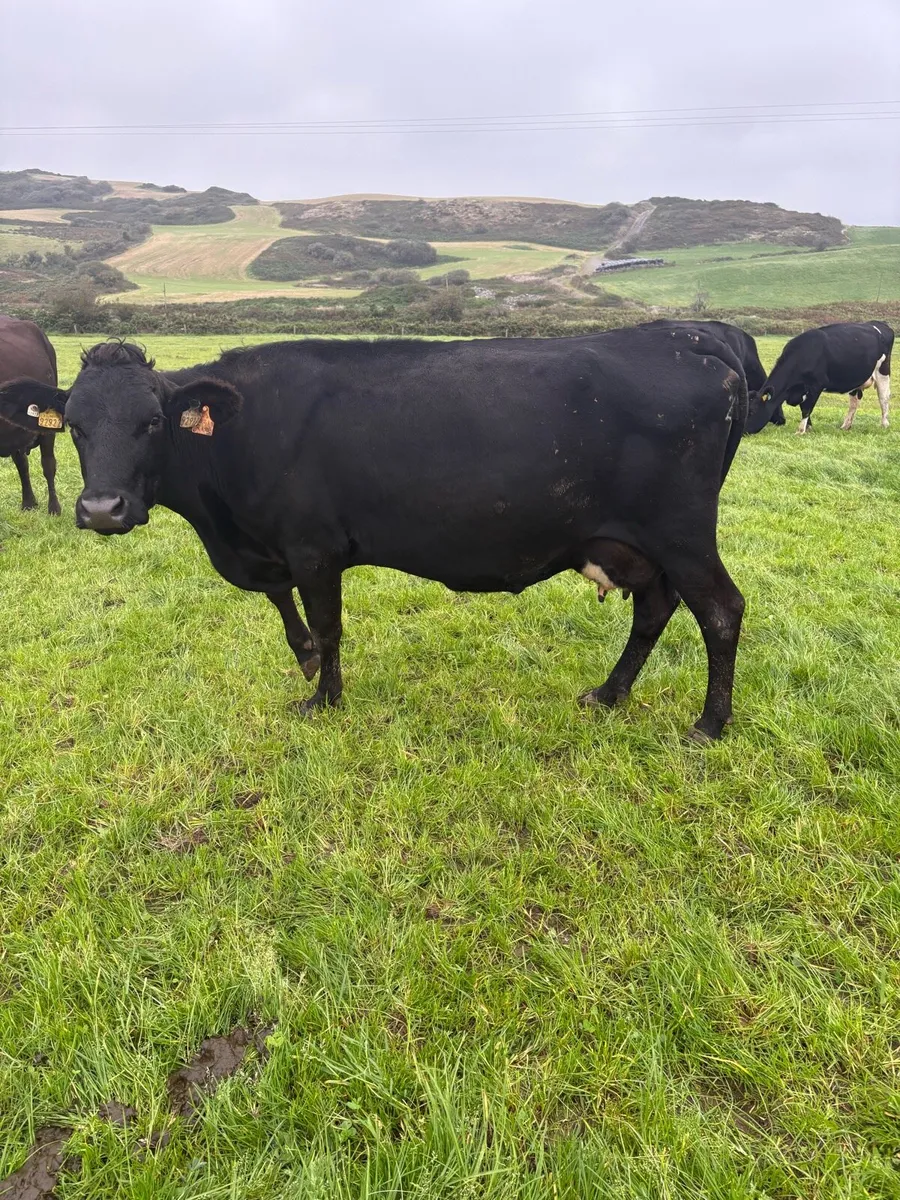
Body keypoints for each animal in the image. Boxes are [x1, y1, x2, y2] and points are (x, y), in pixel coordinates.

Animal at [746, 321, 893, 435]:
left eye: (752, 411)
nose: (743, 432)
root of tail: (879, 324)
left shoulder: (816, 386)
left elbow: (807, 408)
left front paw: (800, 431)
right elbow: (803, 407)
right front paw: (808, 428)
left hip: (883, 371)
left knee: (883, 398)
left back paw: (884, 424)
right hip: (856, 380)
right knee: (854, 402)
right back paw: (845, 426)